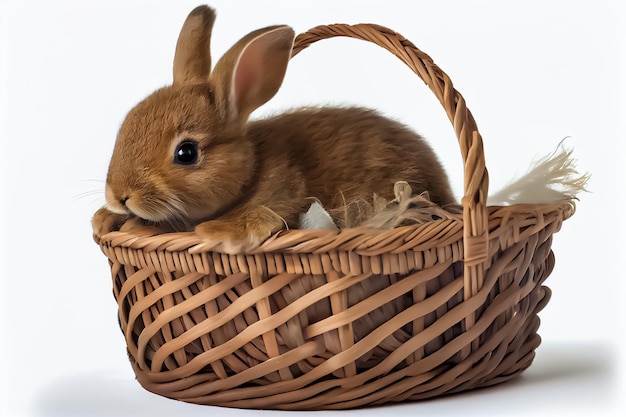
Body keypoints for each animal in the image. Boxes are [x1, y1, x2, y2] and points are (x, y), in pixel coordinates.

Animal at [91, 5, 454, 250]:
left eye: (186, 153)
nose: (120, 196)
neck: (250, 171)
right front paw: (104, 220)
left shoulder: (283, 193)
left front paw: (218, 232)